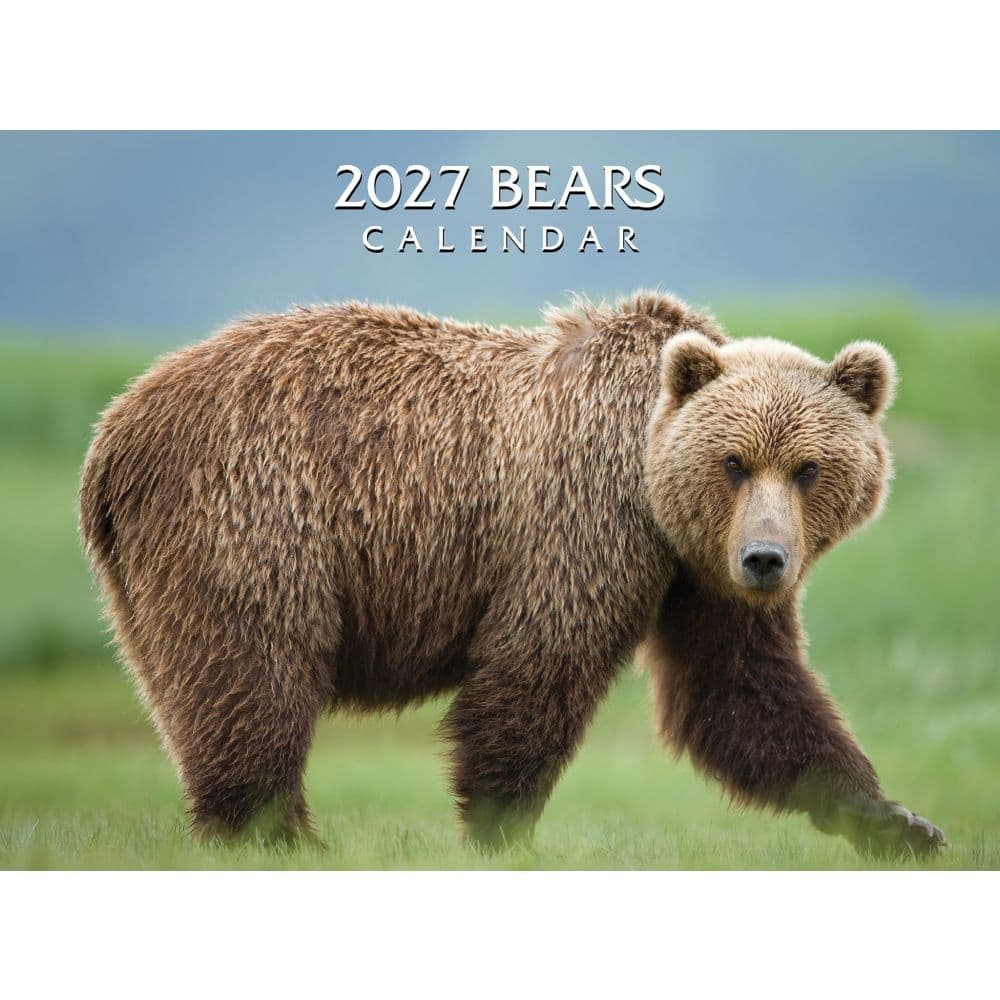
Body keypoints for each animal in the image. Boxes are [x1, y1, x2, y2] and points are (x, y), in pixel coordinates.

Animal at [79, 291, 946, 856]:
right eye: (733, 462)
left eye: (808, 468)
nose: (765, 560)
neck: (650, 489)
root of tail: (115, 428)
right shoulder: (584, 522)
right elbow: (539, 664)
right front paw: (504, 830)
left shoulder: (697, 573)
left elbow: (740, 686)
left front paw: (896, 821)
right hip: (253, 515)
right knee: (254, 674)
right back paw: (279, 838)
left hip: (144, 582)